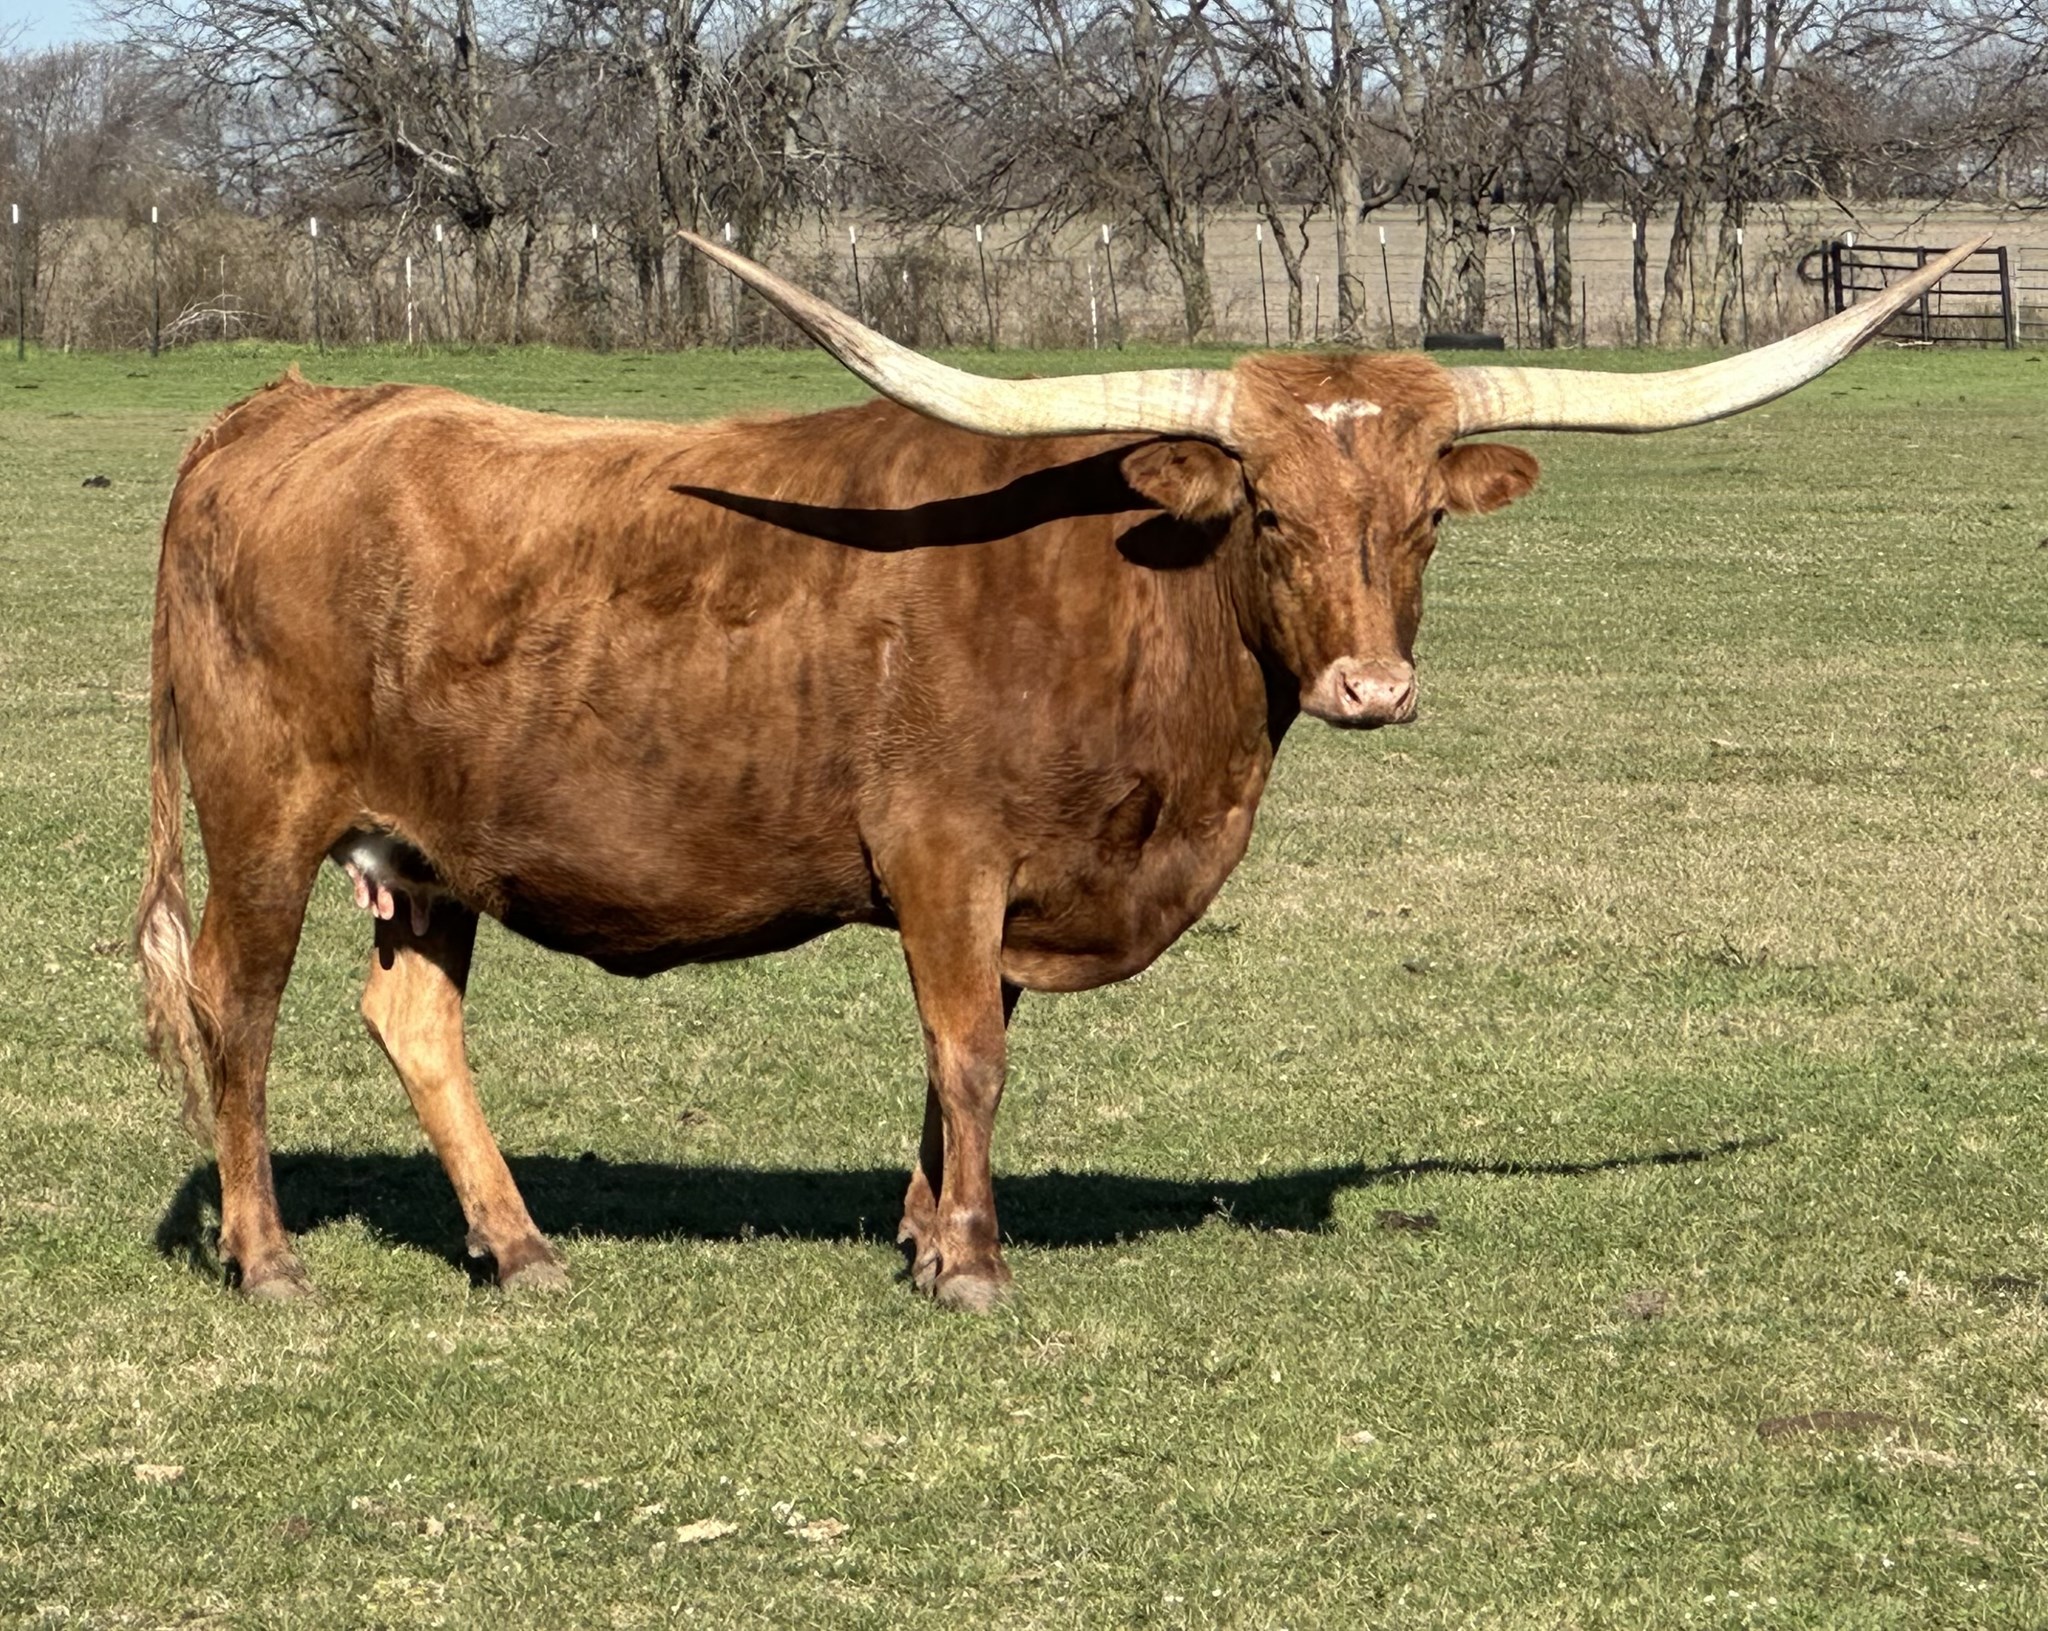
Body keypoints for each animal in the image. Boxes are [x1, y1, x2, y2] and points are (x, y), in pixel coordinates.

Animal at [136, 232, 1982, 1308]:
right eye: (1266, 513)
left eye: (1424, 519)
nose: (1373, 687)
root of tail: (284, 406)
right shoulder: (943, 858)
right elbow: (967, 1058)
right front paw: (972, 1266)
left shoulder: (1014, 888)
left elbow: (953, 1068)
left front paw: (922, 1232)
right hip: (265, 817)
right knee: (235, 1004)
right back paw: (271, 1259)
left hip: (422, 851)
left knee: (410, 1015)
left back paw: (520, 1249)